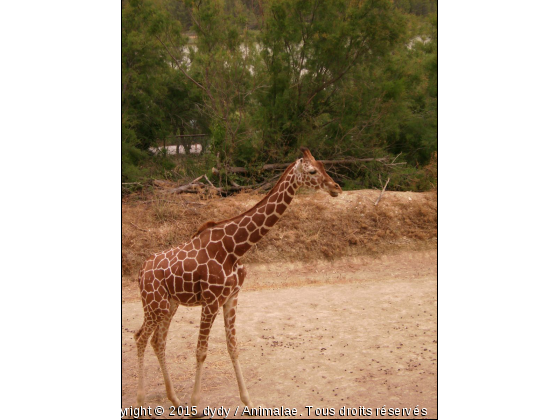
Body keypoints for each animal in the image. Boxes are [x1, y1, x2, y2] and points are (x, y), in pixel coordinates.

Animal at [135, 146, 342, 408]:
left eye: (323, 166)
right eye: (313, 171)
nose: (337, 188)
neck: (234, 248)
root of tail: (141, 271)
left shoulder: (232, 297)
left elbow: (233, 347)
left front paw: (248, 401)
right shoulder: (211, 300)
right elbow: (201, 351)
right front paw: (196, 405)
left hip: (169, 304)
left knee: (157, 341)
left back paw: (175, 399)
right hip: (154, 304)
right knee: (141, 338)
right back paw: (141, 399)